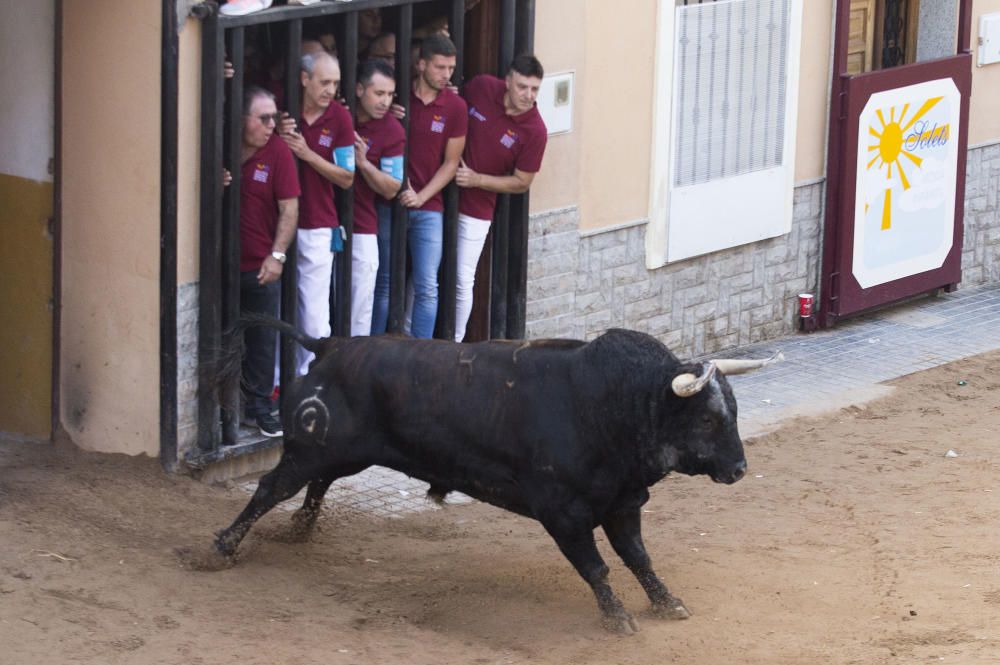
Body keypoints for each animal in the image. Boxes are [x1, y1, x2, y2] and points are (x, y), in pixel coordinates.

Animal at [209, 316, 780, 632]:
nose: (738, 468)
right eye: (707, 419)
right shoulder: (564, 514)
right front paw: (618, 618)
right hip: (312, 448)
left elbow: (639, 559)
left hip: (338, 452)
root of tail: (329, 345)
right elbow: (597, 568)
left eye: (733, 411)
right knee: (271, 488)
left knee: (316, 483)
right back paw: (222, 547)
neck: (609, 405)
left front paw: (667, 603)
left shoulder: (621, 505)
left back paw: (300, 530)